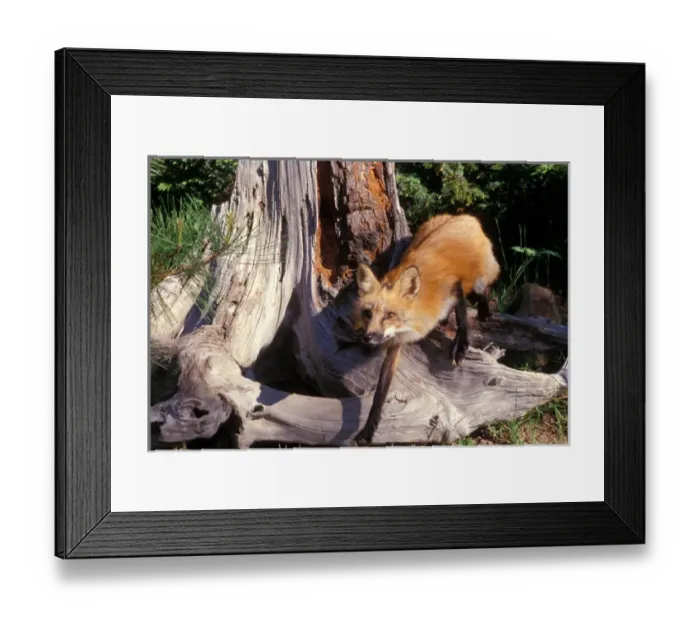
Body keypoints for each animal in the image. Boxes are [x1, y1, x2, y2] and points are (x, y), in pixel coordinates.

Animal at [349, 213, 500, 446]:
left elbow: (462, 316)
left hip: (477, 276)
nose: (368, 337)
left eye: (389, 315)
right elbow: (380, 393)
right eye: (368, 313)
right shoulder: (396, 343)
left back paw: (484, 310)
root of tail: (461, 216)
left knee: (483, 289)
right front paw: (369, 429)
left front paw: (461, 345)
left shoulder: (454, 286)